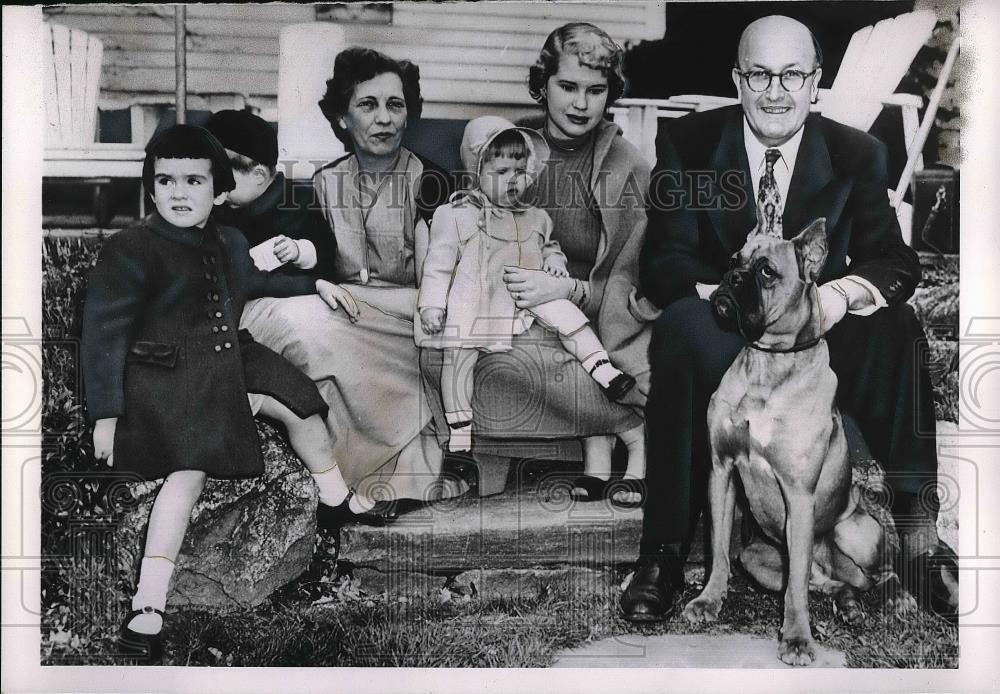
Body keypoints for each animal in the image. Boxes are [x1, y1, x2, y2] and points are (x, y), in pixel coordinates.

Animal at [680, 218, 916, 668]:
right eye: (733, 261)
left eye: (767, 271)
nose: (732, 279)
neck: (769, 364)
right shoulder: (721, 471)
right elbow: (718, 549)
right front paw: (708, 600)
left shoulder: (798, 494)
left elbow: (795, 593)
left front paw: (796, 640)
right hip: (757, 558)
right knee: (829, 584)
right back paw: (849, 605)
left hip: (858, 534)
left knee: (879, 573)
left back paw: (898, 600)